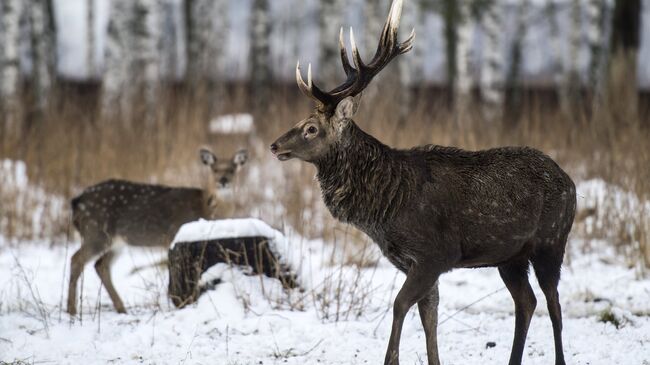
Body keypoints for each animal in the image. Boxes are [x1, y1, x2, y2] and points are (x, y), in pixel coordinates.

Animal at [67, 147, 247, 312]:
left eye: (232, 170)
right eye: (215, 169)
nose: (223, 180)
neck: (206, 209)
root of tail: (76, 202)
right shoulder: (175, 234)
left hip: (116, 241)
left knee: (100, 265)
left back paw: (121, 308)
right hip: (96, 231)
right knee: (76, 259)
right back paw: (72, 310)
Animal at [268, 0, 572, 364]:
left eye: (311, 128)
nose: (275, 145)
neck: (385, 208)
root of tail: (570, 182)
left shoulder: (436, 254)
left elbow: (401, 304)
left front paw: (391, 358)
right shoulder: (411, 261)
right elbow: (430, 315)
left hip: (551, 242)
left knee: (554, 305)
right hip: (511, 257)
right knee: (526, 301)